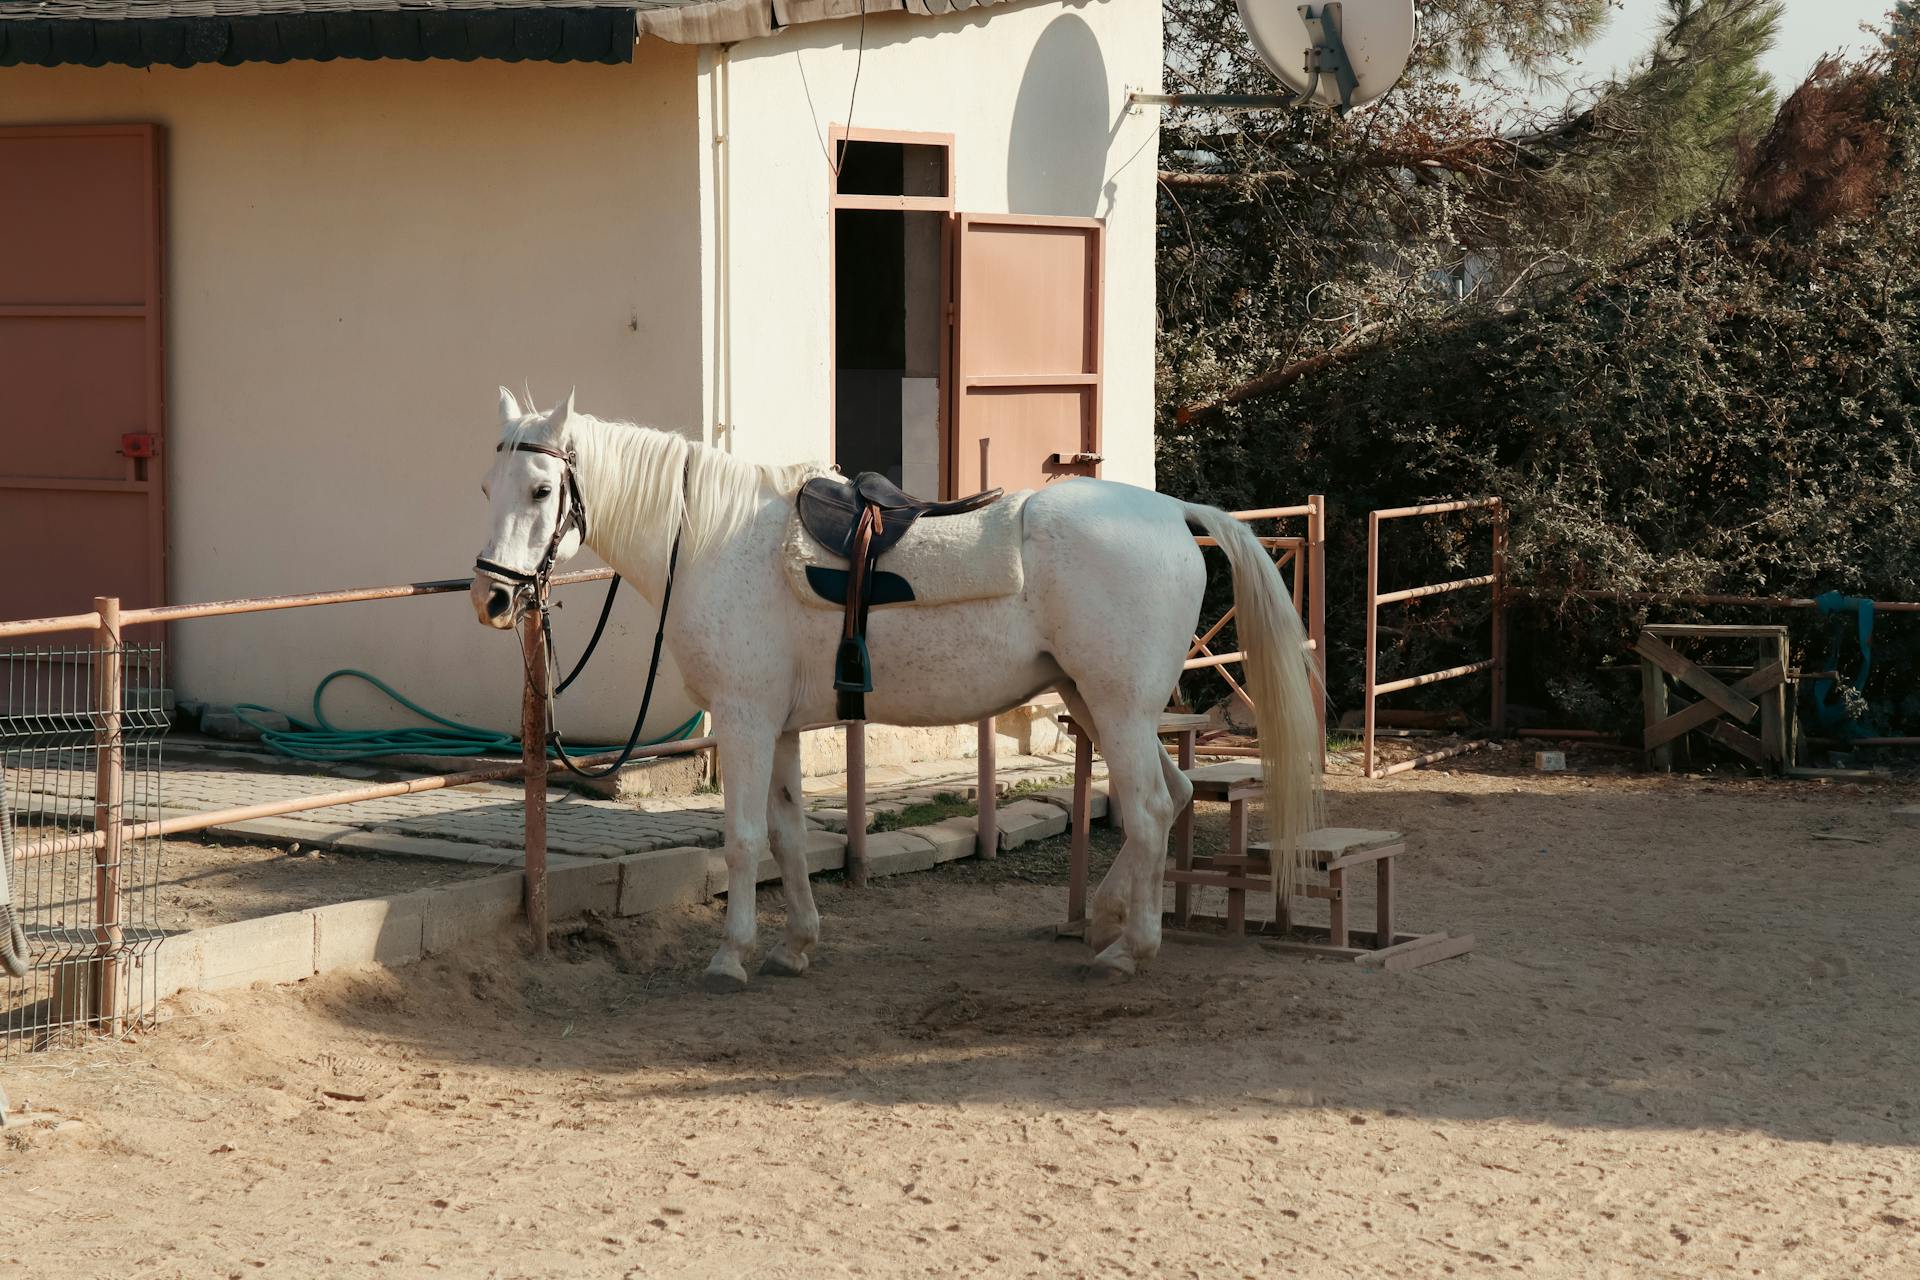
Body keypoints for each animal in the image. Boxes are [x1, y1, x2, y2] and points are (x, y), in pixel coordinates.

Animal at [472, 393, 1328, 990]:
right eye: (487, 485)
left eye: (542, 489)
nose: (492, 598)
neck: (713, 539)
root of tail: (1173, 513)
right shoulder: (780, 727)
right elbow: (787, 835)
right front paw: (795, 945)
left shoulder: (744, 721)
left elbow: (743, 839)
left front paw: (730, 956)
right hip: (1097, 701)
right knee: (1175, 796)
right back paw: (1107, 921)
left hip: (1116, 708)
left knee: (1150, 809)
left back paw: (1127, 949)